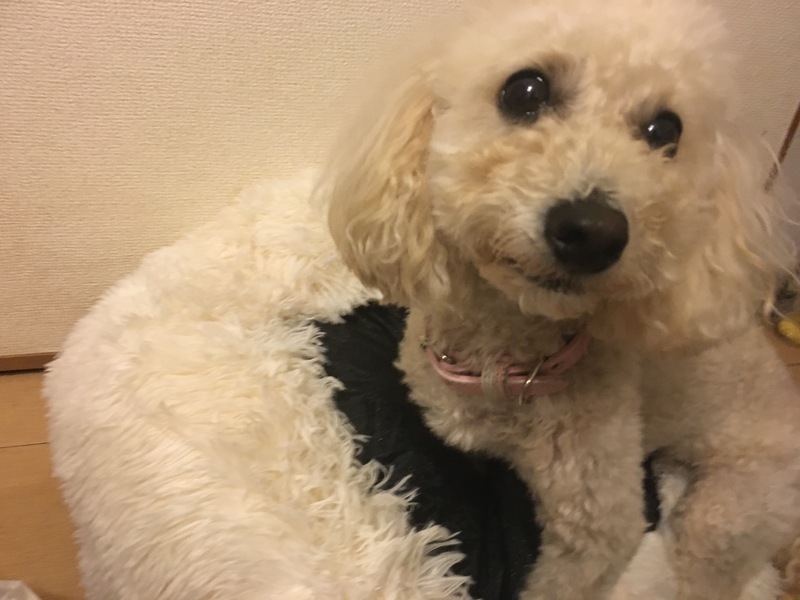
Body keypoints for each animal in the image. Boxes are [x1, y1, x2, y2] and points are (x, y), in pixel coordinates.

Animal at [317, 0, 800, 598]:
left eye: (666, 131)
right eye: (525, 90)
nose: (593, 232)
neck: (506, 359)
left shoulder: (596, 528)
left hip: (731, 512)